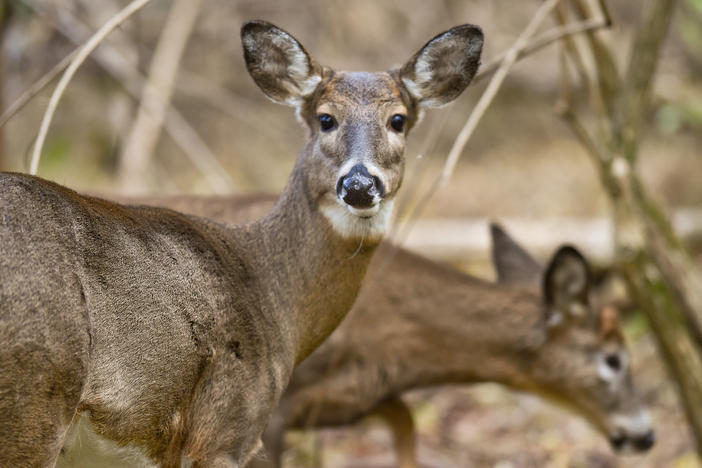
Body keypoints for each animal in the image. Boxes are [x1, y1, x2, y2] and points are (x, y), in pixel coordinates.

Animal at [0, 19, 484, 468]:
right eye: (326, 118)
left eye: (397, 120)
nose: (360, 185)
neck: (271, 293)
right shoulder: (225, 427)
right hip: (37, 392)